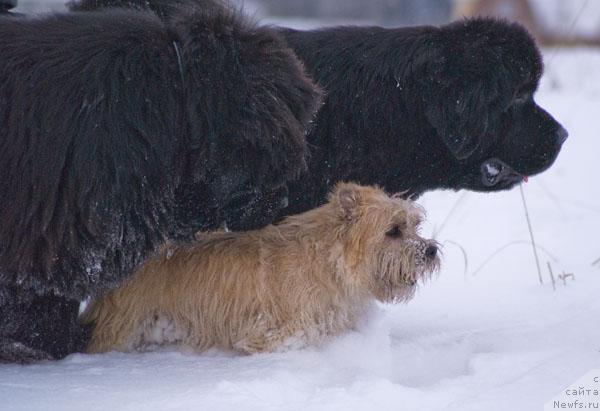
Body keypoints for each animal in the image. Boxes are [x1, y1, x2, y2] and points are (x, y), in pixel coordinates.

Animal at [83, 183, 440, 354]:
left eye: (415, 225)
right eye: (393, 230)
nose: (431, 250)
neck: (330, 262)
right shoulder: (276, 331)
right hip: (124, 328)